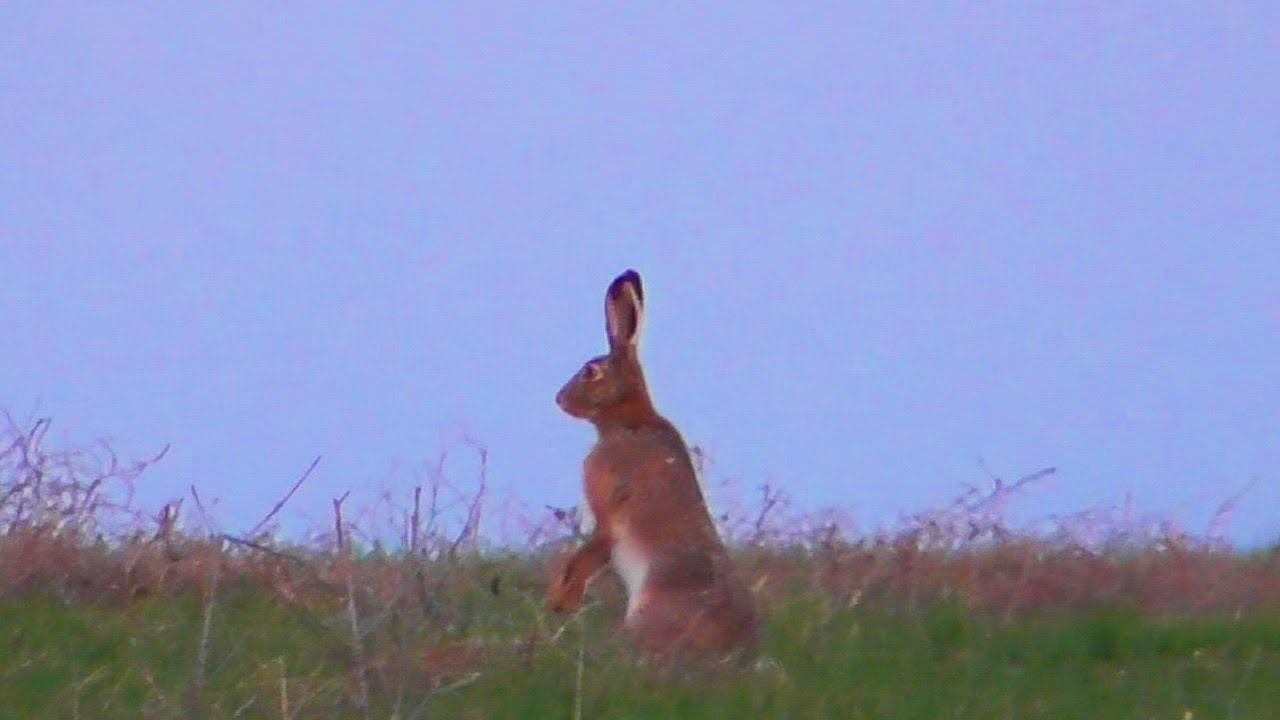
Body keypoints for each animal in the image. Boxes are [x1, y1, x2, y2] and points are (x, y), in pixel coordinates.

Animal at [546, 269, 758, 662]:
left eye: (590, 371)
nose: (560, 399)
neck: (628, 422)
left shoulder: (608, 511)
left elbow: (588, 554)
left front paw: (563, 601)